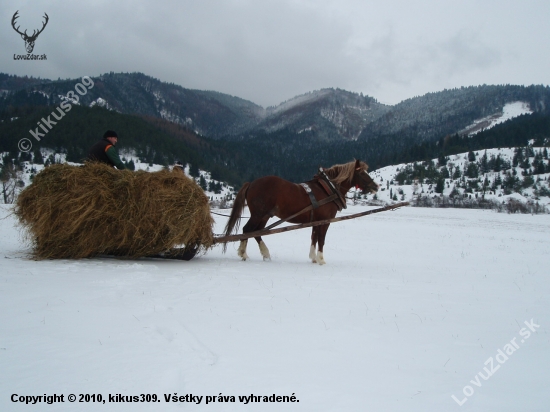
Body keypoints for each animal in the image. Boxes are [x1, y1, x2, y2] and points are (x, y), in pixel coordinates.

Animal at [223, 159, 380, 266]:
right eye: (361, 172)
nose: (375, 186)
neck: (328, 189)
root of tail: (251, 183)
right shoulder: (325, 221)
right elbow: (321, 239)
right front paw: (321, 259)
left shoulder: (316, 221)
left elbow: (314, 238)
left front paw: (313, 257)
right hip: (258, 214)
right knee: (247, 230)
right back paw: (243, 254)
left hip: (265, 215)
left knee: (257, 232)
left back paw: (265, 253)